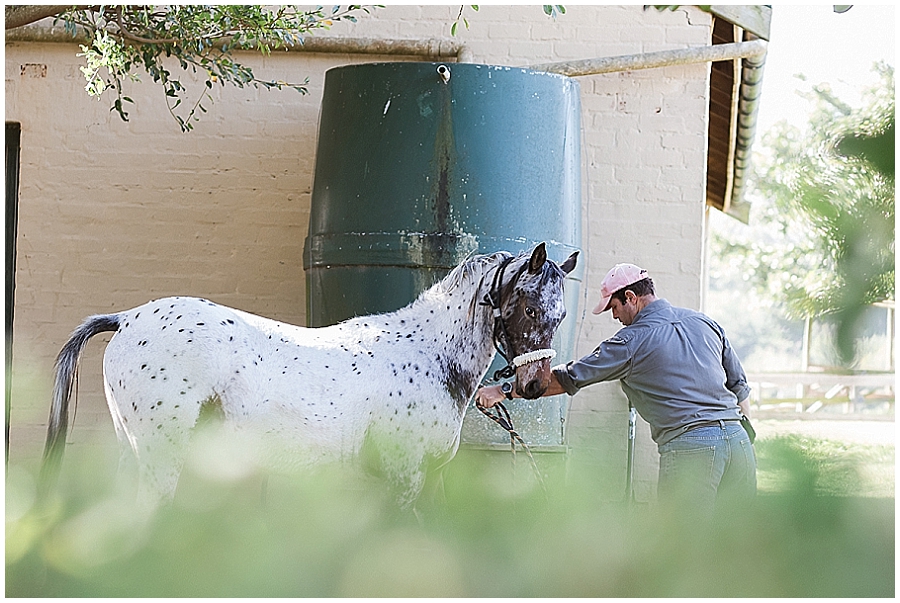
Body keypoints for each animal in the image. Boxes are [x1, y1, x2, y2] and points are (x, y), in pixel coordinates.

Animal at [40, 243, 578, 508]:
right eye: (531, 308)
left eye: (562, 314)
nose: (533, 385)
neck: (427, 355)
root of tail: (128, 318)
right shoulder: (405, 476)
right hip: (160, 457)